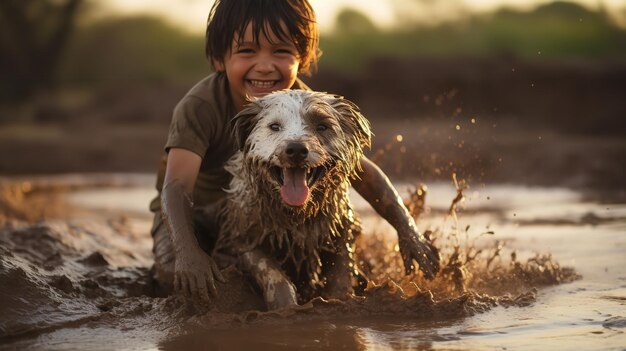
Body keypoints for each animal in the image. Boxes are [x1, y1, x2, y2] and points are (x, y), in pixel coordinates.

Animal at [214, 91, 370, 310]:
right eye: (274, 126)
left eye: (322, 126)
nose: (296, 149)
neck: (295, 215)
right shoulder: (243, 237)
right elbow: (270, 271)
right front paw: (286, 306)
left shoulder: (339, 227)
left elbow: (340, 273)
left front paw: (337, 300)